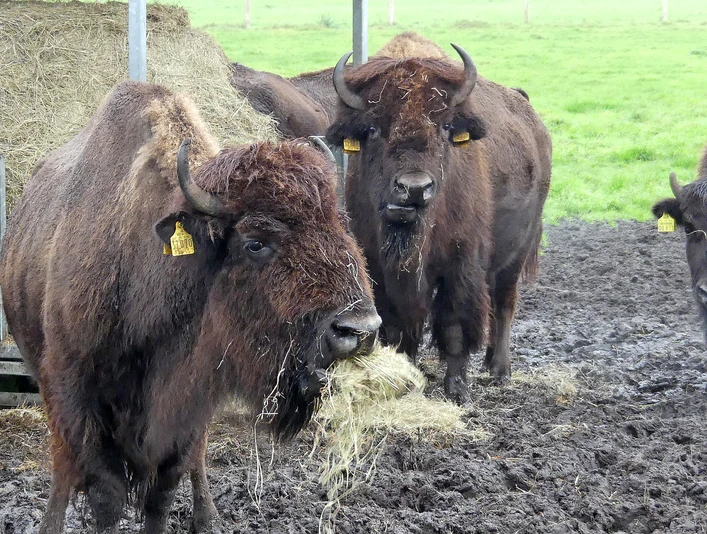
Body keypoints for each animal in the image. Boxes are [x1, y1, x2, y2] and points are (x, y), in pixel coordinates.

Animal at [0, 80, 380, 533]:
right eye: (255, 242)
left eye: (340, 224)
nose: (360, 328)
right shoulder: (74, 392)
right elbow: (105, 492)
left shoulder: (190, 404)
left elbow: (164, 490)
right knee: (64, 464)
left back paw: (208, 517)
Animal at [326, 41, 551, 401]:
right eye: (372, 128)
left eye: (445, 127)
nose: (415, 188)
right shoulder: (379, 270)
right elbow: (398, 327)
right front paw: (407, 377)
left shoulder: (460, 265)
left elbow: (454, 325)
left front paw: (456, 389)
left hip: (516, 253)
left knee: (503, 304)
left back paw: (500, 370)